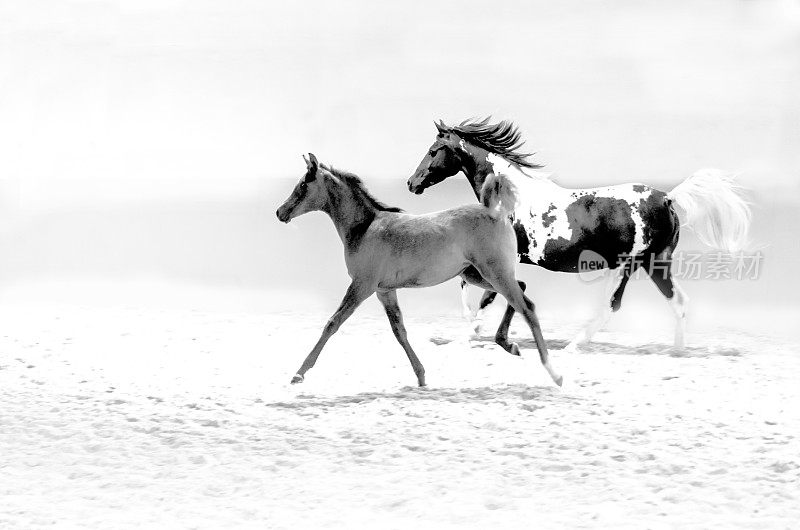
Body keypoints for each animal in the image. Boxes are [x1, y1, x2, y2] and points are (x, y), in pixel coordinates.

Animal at [276, 152, 564, 384]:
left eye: (303, 185)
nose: (280, 212)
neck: (364, 227)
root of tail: (496, 212)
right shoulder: (384, 290)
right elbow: (399, 331)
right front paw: (422, 376)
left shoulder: (362, 286)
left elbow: (332, 323)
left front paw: (299, 373)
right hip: (478, 274)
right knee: (523, 294)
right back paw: (509, 345)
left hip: (495, 273)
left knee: (526, 308)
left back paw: (554, 373)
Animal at [406, 117, 752, 352]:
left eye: (434, 150)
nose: (412, 183)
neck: (507, 198)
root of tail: (667, 198)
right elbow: (476, 288)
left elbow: (482, 291)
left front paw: (471, 332)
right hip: (655, 264)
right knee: (677, 301)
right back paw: (677, 351)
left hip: (627, 265)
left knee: (613, 305)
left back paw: (573, 346)